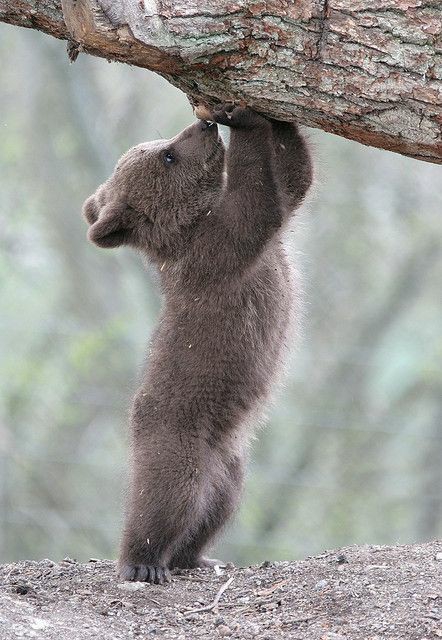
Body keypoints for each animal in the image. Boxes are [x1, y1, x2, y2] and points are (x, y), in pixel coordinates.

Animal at [82, 104, 312, 584]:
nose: (203, 125)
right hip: (175, 435)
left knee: (211, 512)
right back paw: (142, 563)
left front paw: (267, 115)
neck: (189, 224)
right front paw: (243, 119)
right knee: (164, 499)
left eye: (162, 143)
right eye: (167, 154)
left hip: (229, 468)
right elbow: (259, 199)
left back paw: (200, 557)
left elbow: (294, 179)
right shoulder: (218, 251)